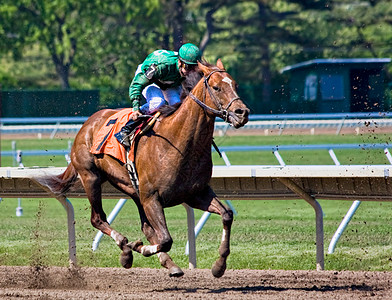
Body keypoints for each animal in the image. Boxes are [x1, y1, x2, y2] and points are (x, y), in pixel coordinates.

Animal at [38, 59, 250, 278]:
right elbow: (165, 239)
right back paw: (126, 249)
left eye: (235, 85)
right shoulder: (152, 197)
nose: (242, 113)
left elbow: (226, 215)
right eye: (216, 87)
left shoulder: (196, 193)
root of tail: (88, 123)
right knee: (98, 219)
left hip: (133, 190)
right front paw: (137, 247)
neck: (181, 143)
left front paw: (219, 265)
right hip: (91, 177)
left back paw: (162, 262)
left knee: (146, 227)